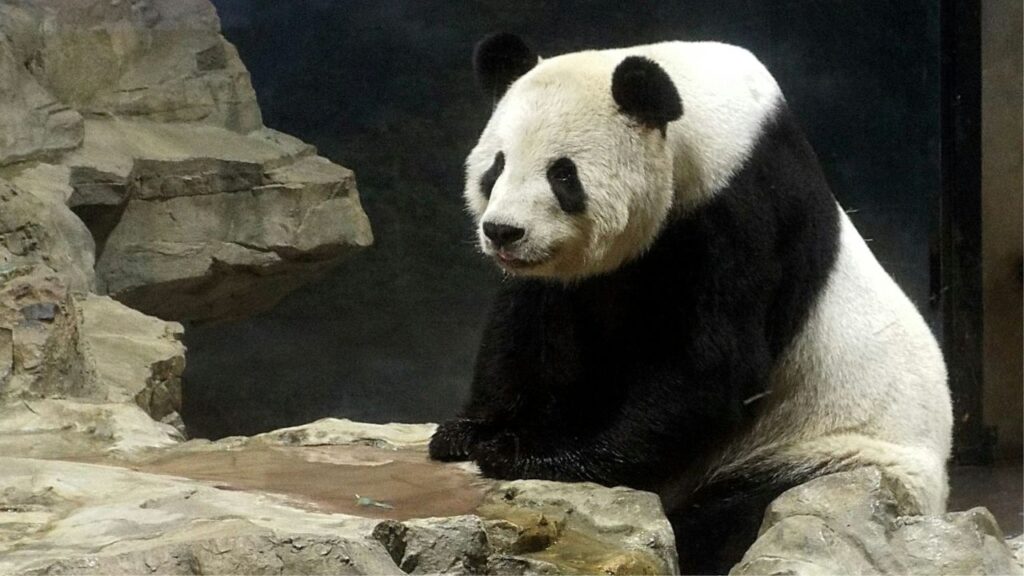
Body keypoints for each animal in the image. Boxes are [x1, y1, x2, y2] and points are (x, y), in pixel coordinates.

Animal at [429, 33, 952, 574]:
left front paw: (534, 454)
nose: (503, 231)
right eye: (496, 166)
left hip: (835, 456)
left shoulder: (742, 210)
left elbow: (709, 366)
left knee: (743, 513)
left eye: (563, 175)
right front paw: (472, 431)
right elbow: (533, 329)